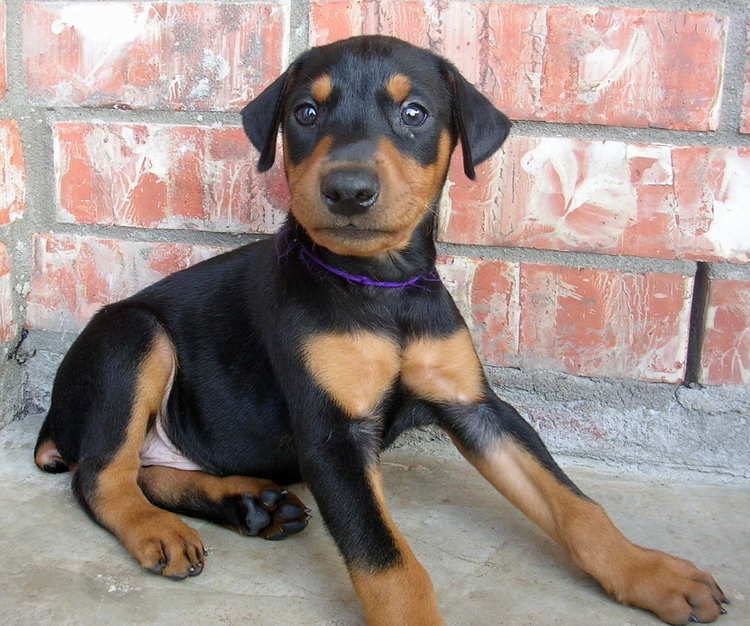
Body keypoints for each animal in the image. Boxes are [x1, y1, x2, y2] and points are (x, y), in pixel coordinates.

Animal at [33, 35, 728, 624]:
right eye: (306, 113)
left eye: (415, 112)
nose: (348, 190)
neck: (379, 286)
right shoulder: (332, 434)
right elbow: (387, 561)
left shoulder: (474, 405)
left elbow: (574, 503)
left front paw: (651, 572)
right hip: (133, 336)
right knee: (100, 475)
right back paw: (161, 528)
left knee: (146, 468)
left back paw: (251, 504)